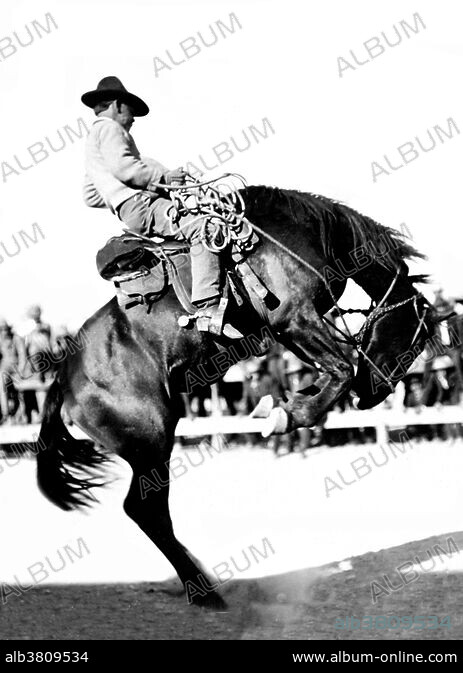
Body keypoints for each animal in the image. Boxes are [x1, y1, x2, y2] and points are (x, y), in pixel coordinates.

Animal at [37, 178, 438, 608]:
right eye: (416, 342)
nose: (375, 394)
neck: (309, 236)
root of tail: (66, 373)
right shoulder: (294, 318)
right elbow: (342, 371)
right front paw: (285, 415)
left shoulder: (286, 330)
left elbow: (329, 374)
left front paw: (282, 404)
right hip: (151, 440)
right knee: (146, 510)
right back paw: (204, 591)